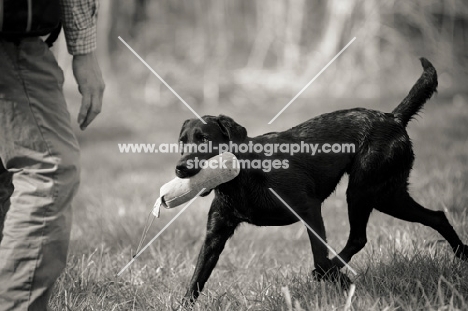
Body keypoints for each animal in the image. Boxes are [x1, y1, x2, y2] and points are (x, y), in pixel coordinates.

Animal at [174, 58, 466, 308]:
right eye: (182, 142)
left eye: (204, 139)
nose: (179, 168)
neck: (242, 177)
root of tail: (392, 117)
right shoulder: (215, 235)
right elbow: (196, 280)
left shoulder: (309, 209)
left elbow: (320, 259)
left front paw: (339, 281)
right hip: (388, 194)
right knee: (436, 216)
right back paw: (463, 255)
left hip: (365, 191)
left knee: (359, 238)